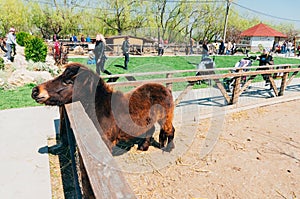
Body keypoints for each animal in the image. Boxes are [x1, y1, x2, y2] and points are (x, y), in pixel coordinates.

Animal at [31, 62, 175, 152]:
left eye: (68, 81)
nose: (35, 91)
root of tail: (166, 89)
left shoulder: (106, 142)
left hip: (165, 119)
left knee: (170, 130)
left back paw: (168, 149)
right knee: (150, 131)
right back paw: (143, 147)